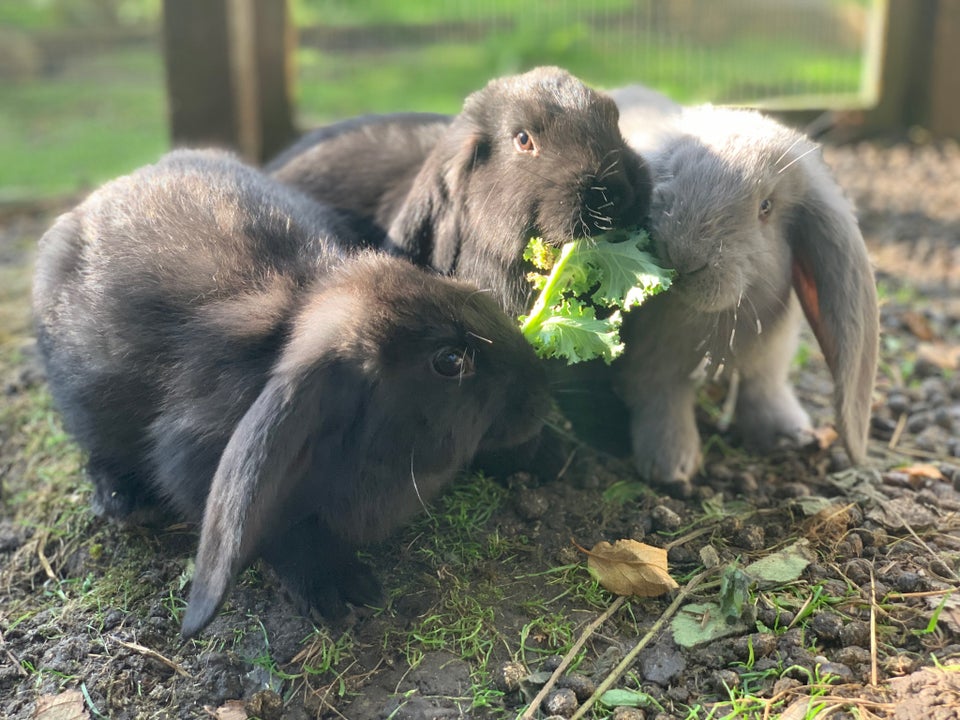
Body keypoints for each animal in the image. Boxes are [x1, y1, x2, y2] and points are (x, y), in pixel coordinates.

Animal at [33, 148, 552, 636]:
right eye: (449, 362)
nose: (541, 390)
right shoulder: (195, 465)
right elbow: (279, 531)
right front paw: (337, 588)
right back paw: (122, 500)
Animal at [604, 86, 880, 496]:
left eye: (766, 207)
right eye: (672, 176)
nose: (684, 256)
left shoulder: (770, 361)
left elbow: (763, 391)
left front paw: (792, 434)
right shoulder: (652, 365)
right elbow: (663, 401)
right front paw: (671, 466)